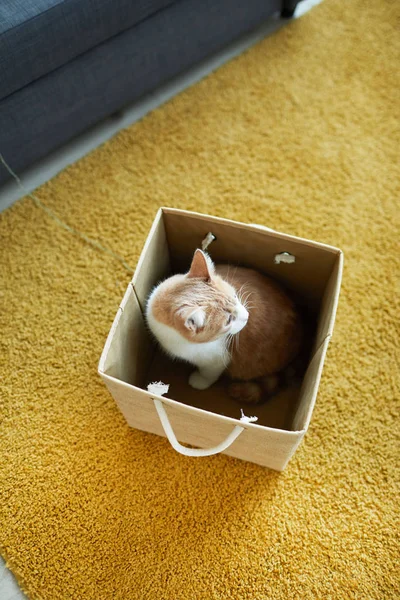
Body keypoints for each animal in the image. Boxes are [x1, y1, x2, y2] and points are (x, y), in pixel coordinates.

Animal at [146, 248, 304, 404]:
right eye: (228, 321)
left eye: (235, 296)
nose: (247, 316)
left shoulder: (216, 360)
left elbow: (208, 374)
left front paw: (200, 381)